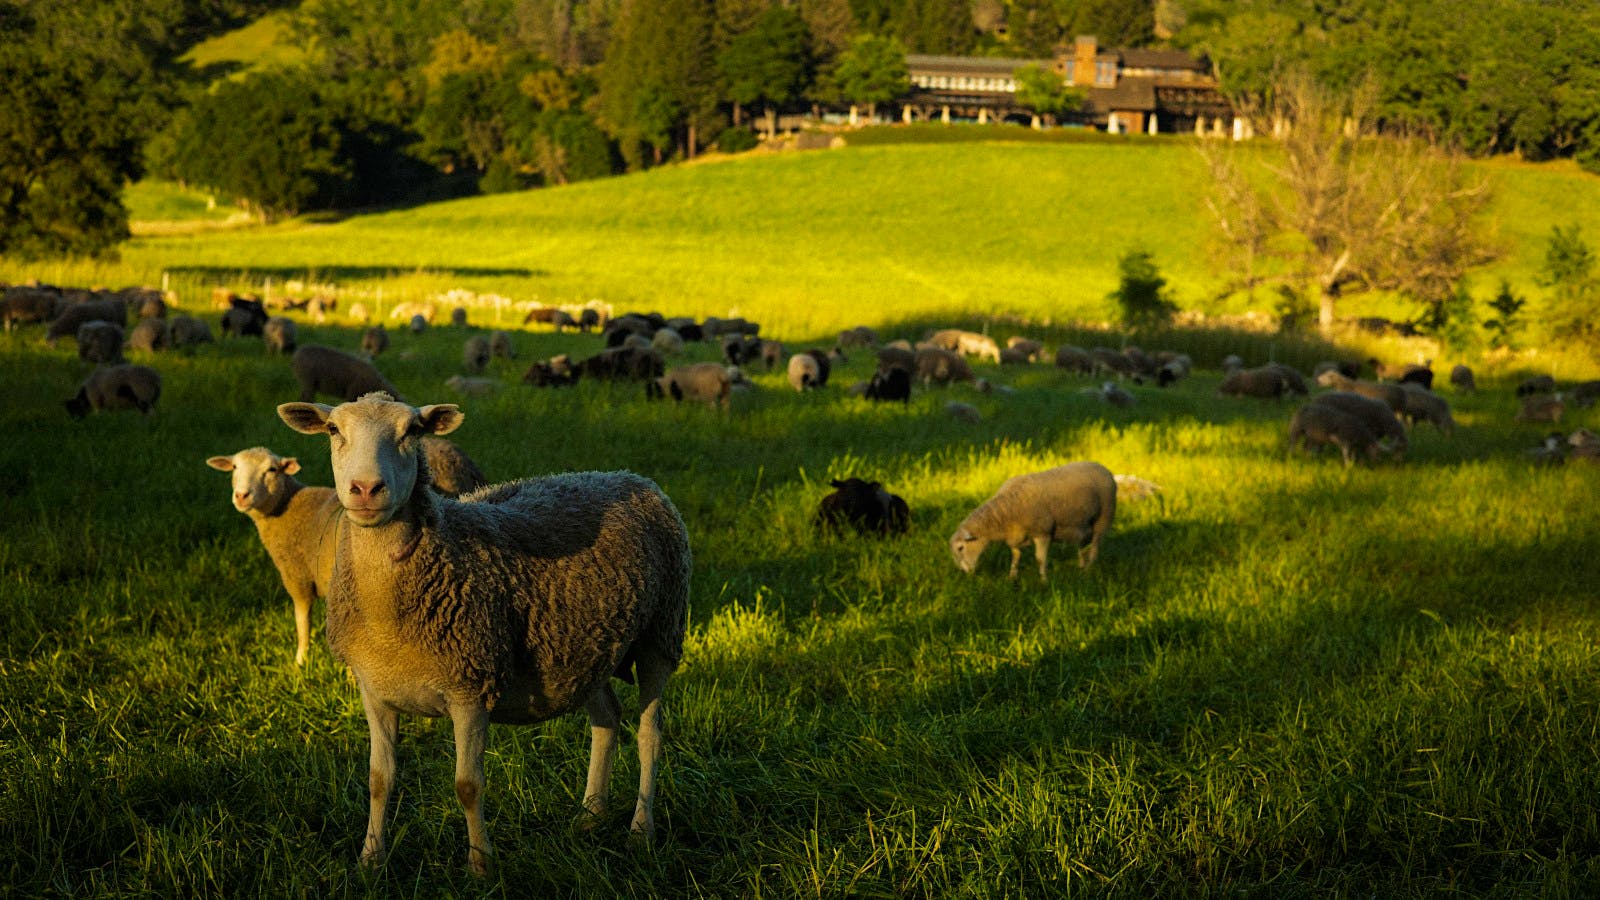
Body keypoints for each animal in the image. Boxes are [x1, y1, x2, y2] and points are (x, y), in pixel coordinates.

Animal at [205, 447, 341, 666]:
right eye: (234, 466)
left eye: (272, 469)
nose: (241, 495)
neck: (286, 508)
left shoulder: (297, 578)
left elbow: (302, 622)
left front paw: (300, 661)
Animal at [276, 392, 691, 872]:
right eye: (333, 430)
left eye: (413, 431)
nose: (365, 489)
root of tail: (628, 476)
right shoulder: (375, 690)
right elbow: (380, 779)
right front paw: (370, 860)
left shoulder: (470, 687)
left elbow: (468, 786)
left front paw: (480, 865)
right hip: (585, 650)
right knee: (606, 720)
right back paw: (590, 815)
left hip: (661, 632)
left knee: (649, 736)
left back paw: (641, 831)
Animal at [949, 461, 1116, 580]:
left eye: (961, 548)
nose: (963, 572)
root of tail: (1104, 468)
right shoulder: (1015, 537)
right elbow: (1015, 558)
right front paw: (1012, 578)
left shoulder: (1043, 533)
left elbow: (1040, 559)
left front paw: (1044, 581)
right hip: (1083, 523)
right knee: (1082, 545)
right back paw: (1081, 565)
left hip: (1104, 517)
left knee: (1095, 547)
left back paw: (1088, 570)